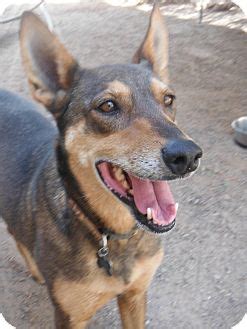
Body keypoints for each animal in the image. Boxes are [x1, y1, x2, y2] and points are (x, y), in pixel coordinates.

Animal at [0, 3, 202, 328]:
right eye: (107, 106)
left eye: (169, 99)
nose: (187, 156)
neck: (111, 235)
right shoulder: (70, 316)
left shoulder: (135, 296)